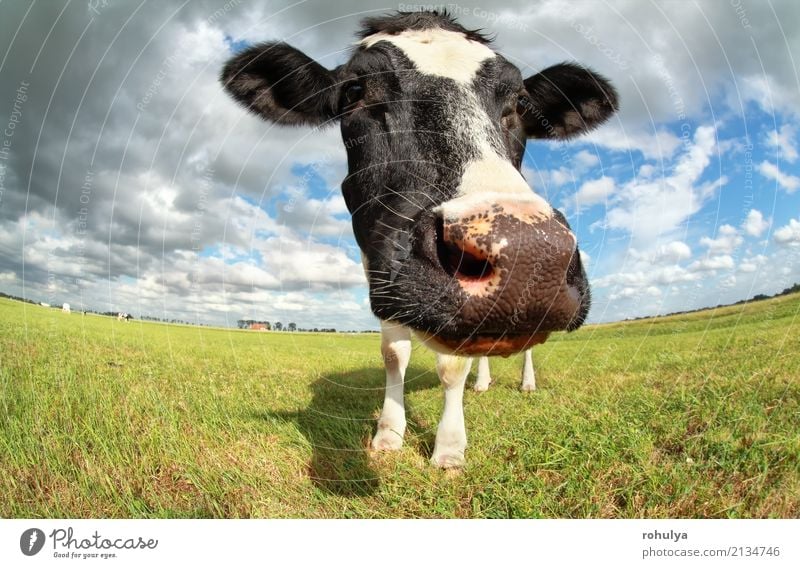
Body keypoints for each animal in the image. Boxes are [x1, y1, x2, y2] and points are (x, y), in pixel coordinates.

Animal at [220, 11, 620, 468]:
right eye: (354, 91)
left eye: (521, 103)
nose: (528, 255)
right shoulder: (380, 264)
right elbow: (395, 353)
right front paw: (388, 434)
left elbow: (452, 367)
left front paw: (448, 448)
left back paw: (526, 383)